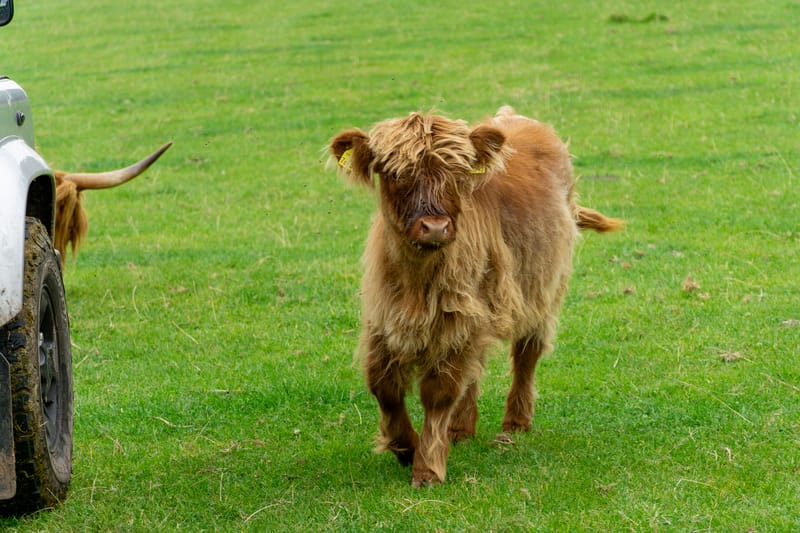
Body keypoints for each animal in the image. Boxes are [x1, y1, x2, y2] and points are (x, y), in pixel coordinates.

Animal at [329, 106, 622, 487]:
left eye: (457, 175)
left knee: (526, 354)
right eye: (395, 173)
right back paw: (460, 428)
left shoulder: (461, 316)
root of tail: (515, 117)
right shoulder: (385, 319)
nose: (435, 227)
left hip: (543, 290)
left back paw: (515, 423)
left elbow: (439, 391)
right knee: (474, 369)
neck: (417, 283)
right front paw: (406, 446)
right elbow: (385, 387)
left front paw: (427, 467)